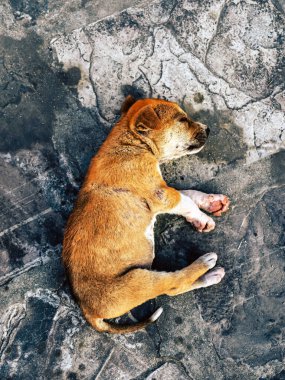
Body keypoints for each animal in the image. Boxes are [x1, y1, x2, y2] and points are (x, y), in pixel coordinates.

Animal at [62, 96, 229, 334]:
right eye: (182, 120)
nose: (208, 128)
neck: (132, 143)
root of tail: (89, 312)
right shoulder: (161, 193)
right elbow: (186, 200)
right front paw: (204, 217)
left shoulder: (162, 190)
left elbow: (190, 194)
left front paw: (211, 202)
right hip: (139, 280)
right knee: (173, 282)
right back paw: (205, 264)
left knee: (174, 289)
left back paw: (212, 275)